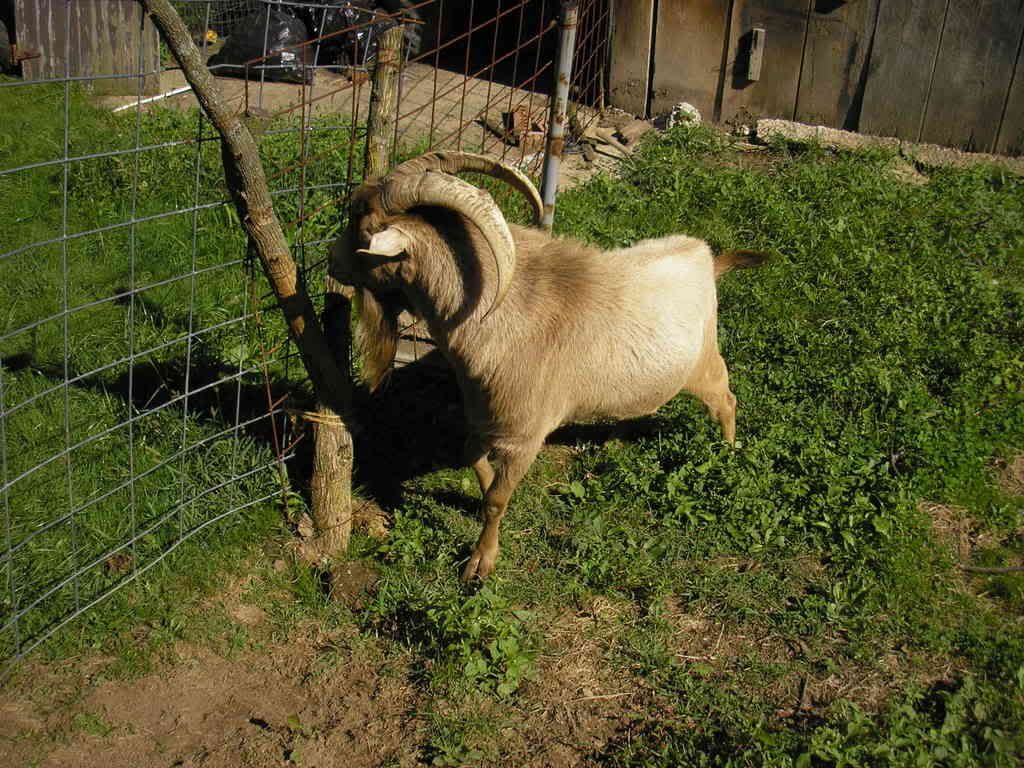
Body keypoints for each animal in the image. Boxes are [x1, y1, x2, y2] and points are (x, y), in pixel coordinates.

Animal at [329, 151, 766, 580]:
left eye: (362, 227)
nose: (332, 265)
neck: (501, 309)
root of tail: (706, 258)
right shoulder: (488, 418)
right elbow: (474, 460)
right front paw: (479, 497)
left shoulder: (524, 435)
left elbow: (497, 500)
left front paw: (480, 562)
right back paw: (614, 442)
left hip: (705, 365)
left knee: (727, 401)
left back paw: (726, 456)